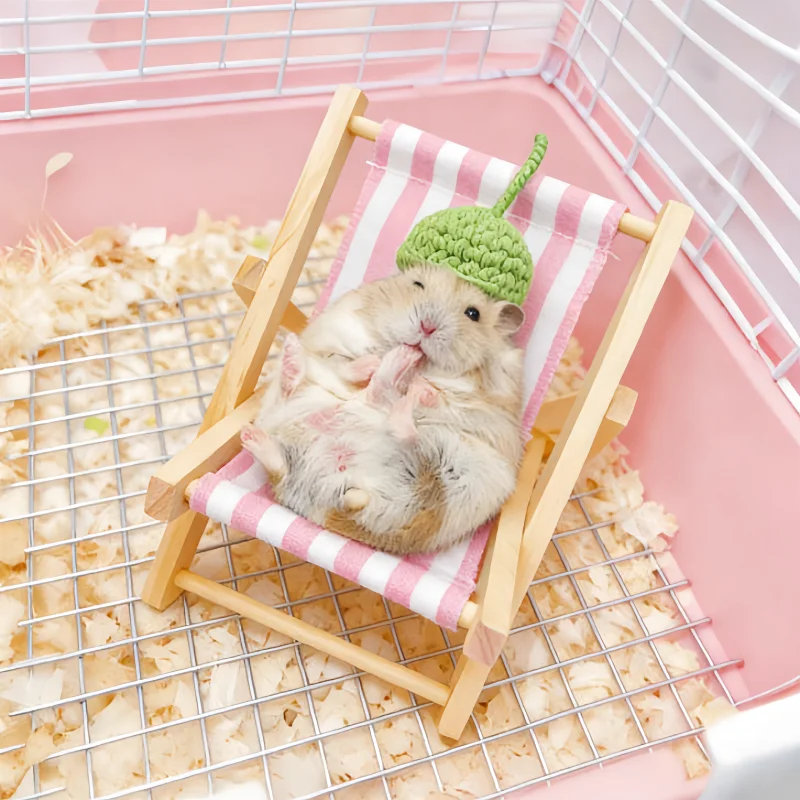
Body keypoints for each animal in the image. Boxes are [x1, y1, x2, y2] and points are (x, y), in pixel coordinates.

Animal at [242, 262, 526, 555]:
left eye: (473, 314)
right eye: (417, 285)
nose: (427, 328)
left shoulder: (494, 391)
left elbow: (450, 397)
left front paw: (421, 387)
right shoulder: (335, 334)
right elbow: (342, 359)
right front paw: (396, 366)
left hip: (458, 481)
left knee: (401, 427)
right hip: (290, 407)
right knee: (298, 402)